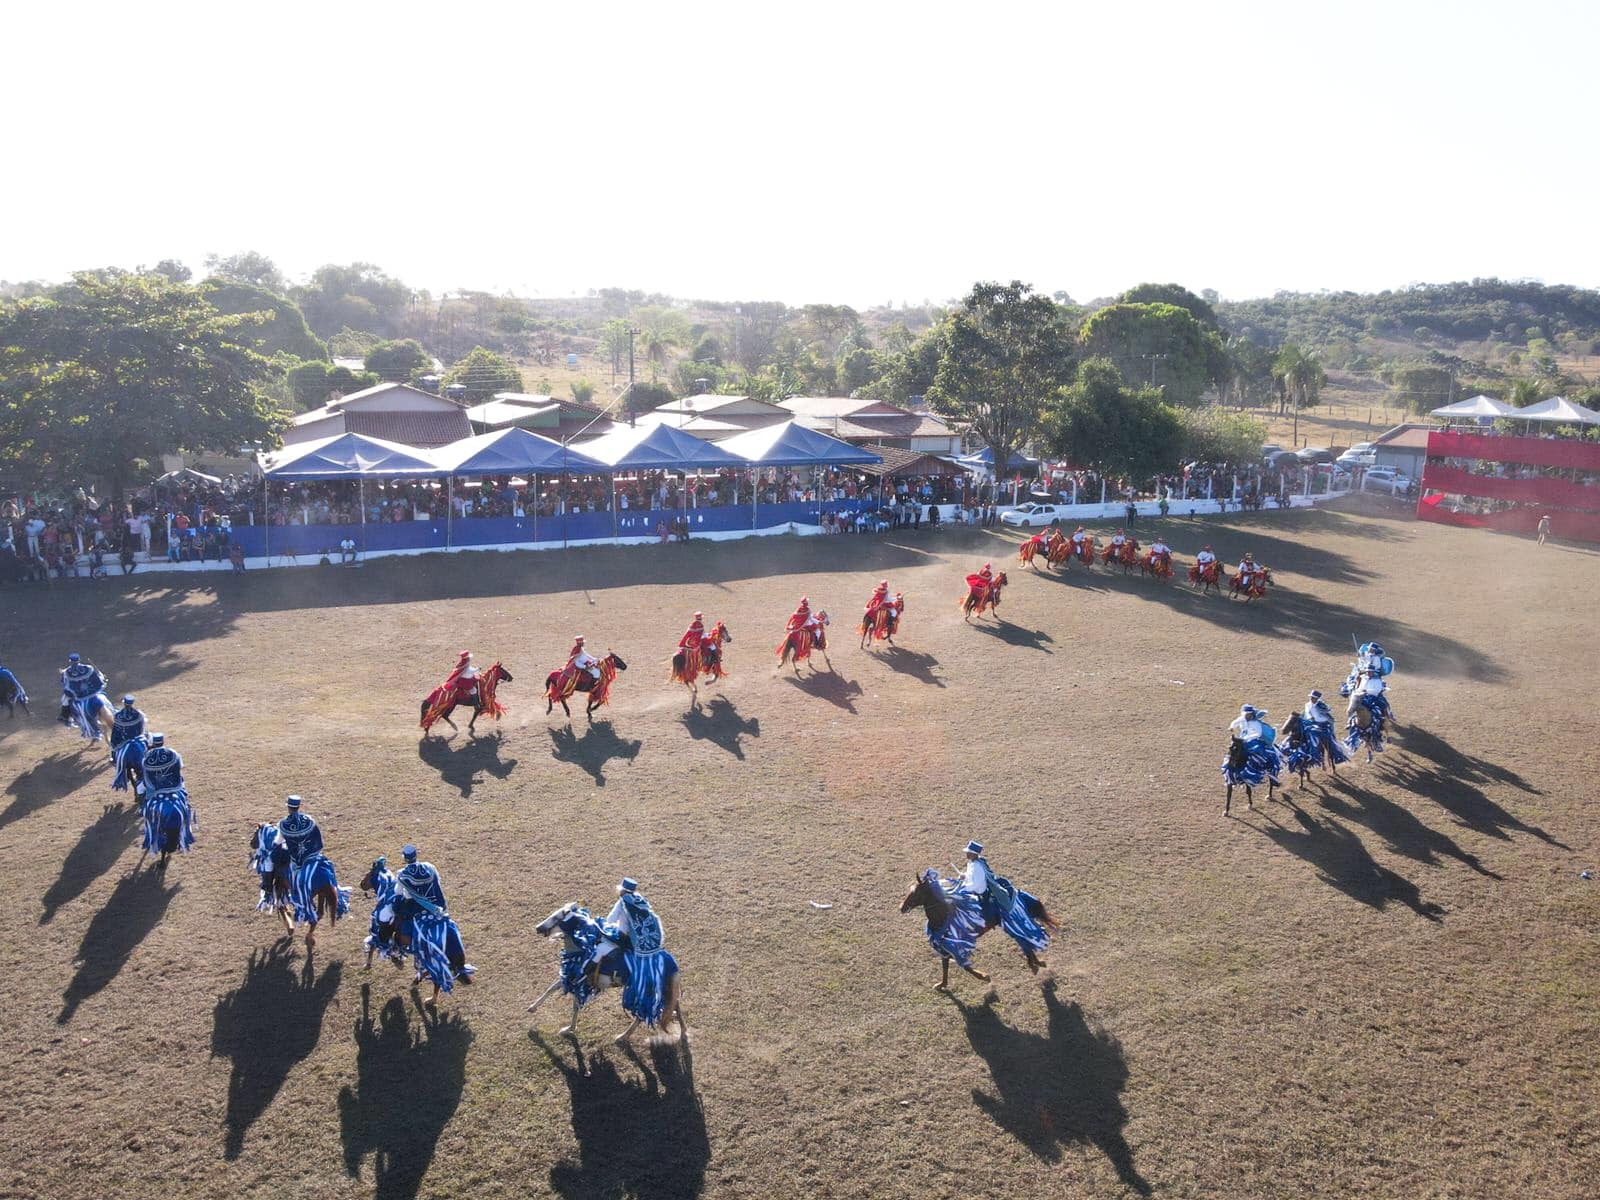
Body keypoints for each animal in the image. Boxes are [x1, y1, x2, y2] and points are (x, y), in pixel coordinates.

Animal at [528, 902, 684, 1043]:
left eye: (557, 917)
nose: (538, 928)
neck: (583, 948)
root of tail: (670, 963)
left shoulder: (577, 980)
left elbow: (572, 1003)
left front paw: (567, 1029)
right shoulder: (574, 979)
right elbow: (553, 990)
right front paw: (533, 1008)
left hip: (646, 992)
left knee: (641, 1015)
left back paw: (622, 1037)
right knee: (674, 1005)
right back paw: (682, 1031)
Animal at [902, 870, 1062, 992]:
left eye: (916, 893)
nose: (902, 907)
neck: (943, 916)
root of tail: (1017, 893)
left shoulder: (956, 946)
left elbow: (964, 965)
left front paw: (984, 977)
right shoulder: (945, 946)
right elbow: (946, 965)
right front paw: (942, 984)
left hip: (1013, 925)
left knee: (1026, 940)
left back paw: (1035, 963)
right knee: (1025, 941)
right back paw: (1035, 962)